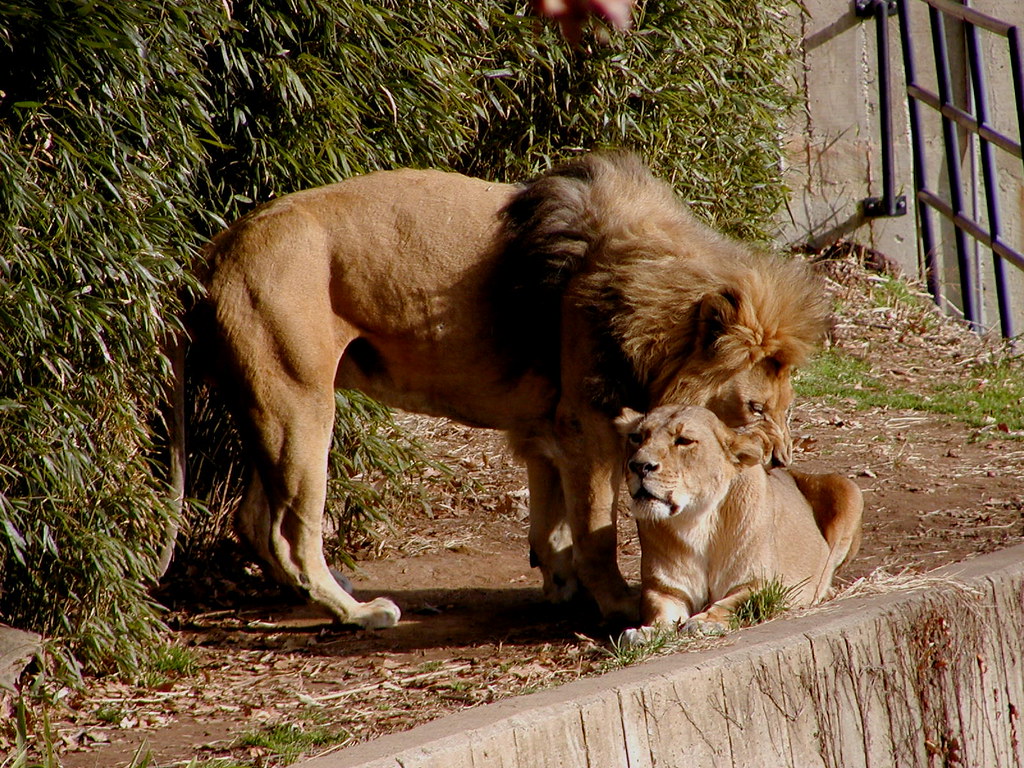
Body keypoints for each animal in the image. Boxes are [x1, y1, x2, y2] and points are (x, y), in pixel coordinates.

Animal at [178, 151, 829, 629]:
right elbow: (595, 529)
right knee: (290, 531)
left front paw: (562, 586)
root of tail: (213, 253)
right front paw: (617, 604)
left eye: (785, 408)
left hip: (274, 411)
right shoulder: (587, 430)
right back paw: (358, 612)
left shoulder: (547, 430)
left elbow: (552, 522)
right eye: (754, 407)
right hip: (302, 404)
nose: (778, 462)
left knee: (253, 521)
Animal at [615, 405, 863, 641]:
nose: (639, 466)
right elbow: (659, 611)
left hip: (849, 489)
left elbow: (732, 603)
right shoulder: (666, 589)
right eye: (637, 437)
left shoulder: (762, 583)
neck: (697, 520)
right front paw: (647, 632)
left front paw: (704, 622)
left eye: (683, 440)